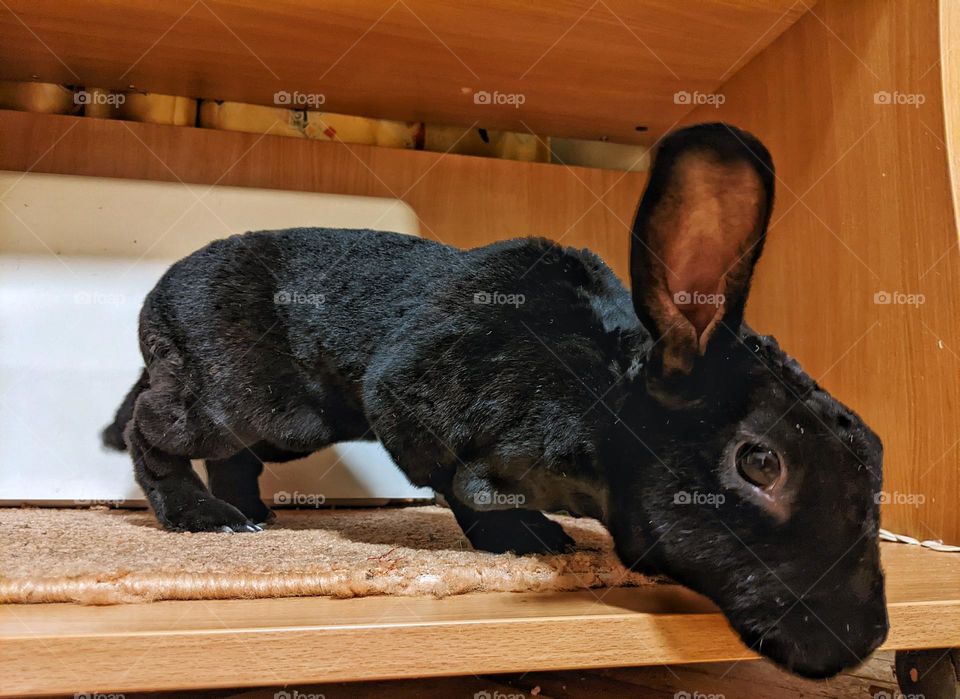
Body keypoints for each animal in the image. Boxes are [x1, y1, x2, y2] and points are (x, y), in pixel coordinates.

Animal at [103, 121, 884, 680]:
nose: (862, 640)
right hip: (250, 404)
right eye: (760, 463)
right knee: (151, 428)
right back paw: (203, 519)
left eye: (876, 453)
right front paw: (530, 539)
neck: (601, 402)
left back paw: (251, 516)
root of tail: (155, 298)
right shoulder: (418, 406)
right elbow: (469, 488)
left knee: (227, 454)